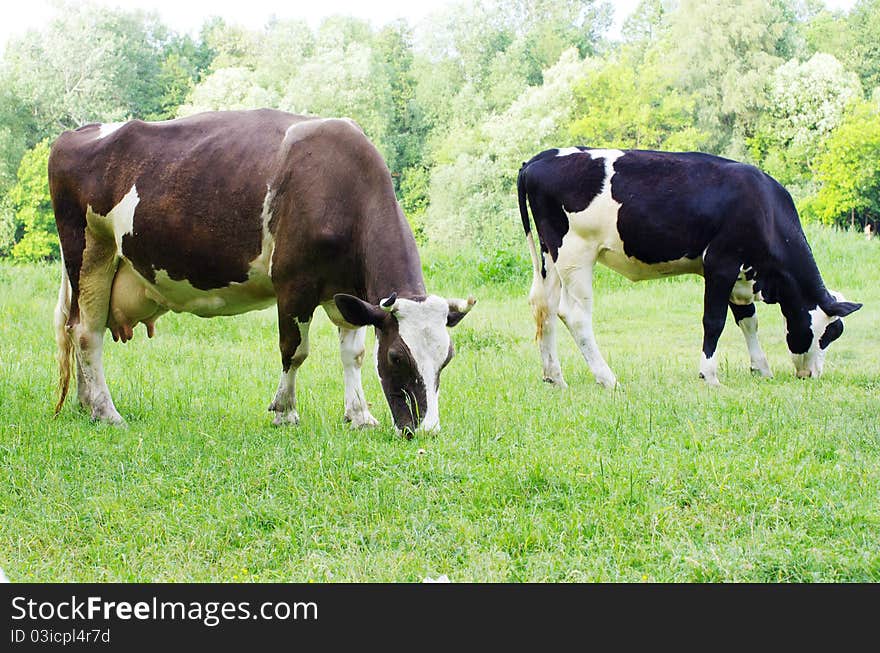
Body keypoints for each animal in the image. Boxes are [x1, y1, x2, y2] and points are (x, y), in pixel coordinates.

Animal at [48, 109, 474, 432]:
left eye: (447, 358)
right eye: (398, 358)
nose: (427, 430)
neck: (340, 187)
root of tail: (77, 132)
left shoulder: (348, 292)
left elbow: (352, 353)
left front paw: (359, 415)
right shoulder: (293, 283)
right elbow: (294, 350)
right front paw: (285, 412)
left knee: (76, 329)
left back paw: (87, 404)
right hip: (89, 252)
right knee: (86, 334)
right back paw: (107, 412)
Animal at [520, 148, 864, 388]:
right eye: (827, 334)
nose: (812, 375)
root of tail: (542, 157)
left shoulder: (741, 276)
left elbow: (748, 321)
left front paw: (761, 368)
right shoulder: (721, 263)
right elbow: (714, 321)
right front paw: (709, 375)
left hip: (550, 257)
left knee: (544, 307)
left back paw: (554, 376)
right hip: (576, 254)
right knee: (575, 315)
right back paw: (607, 378)